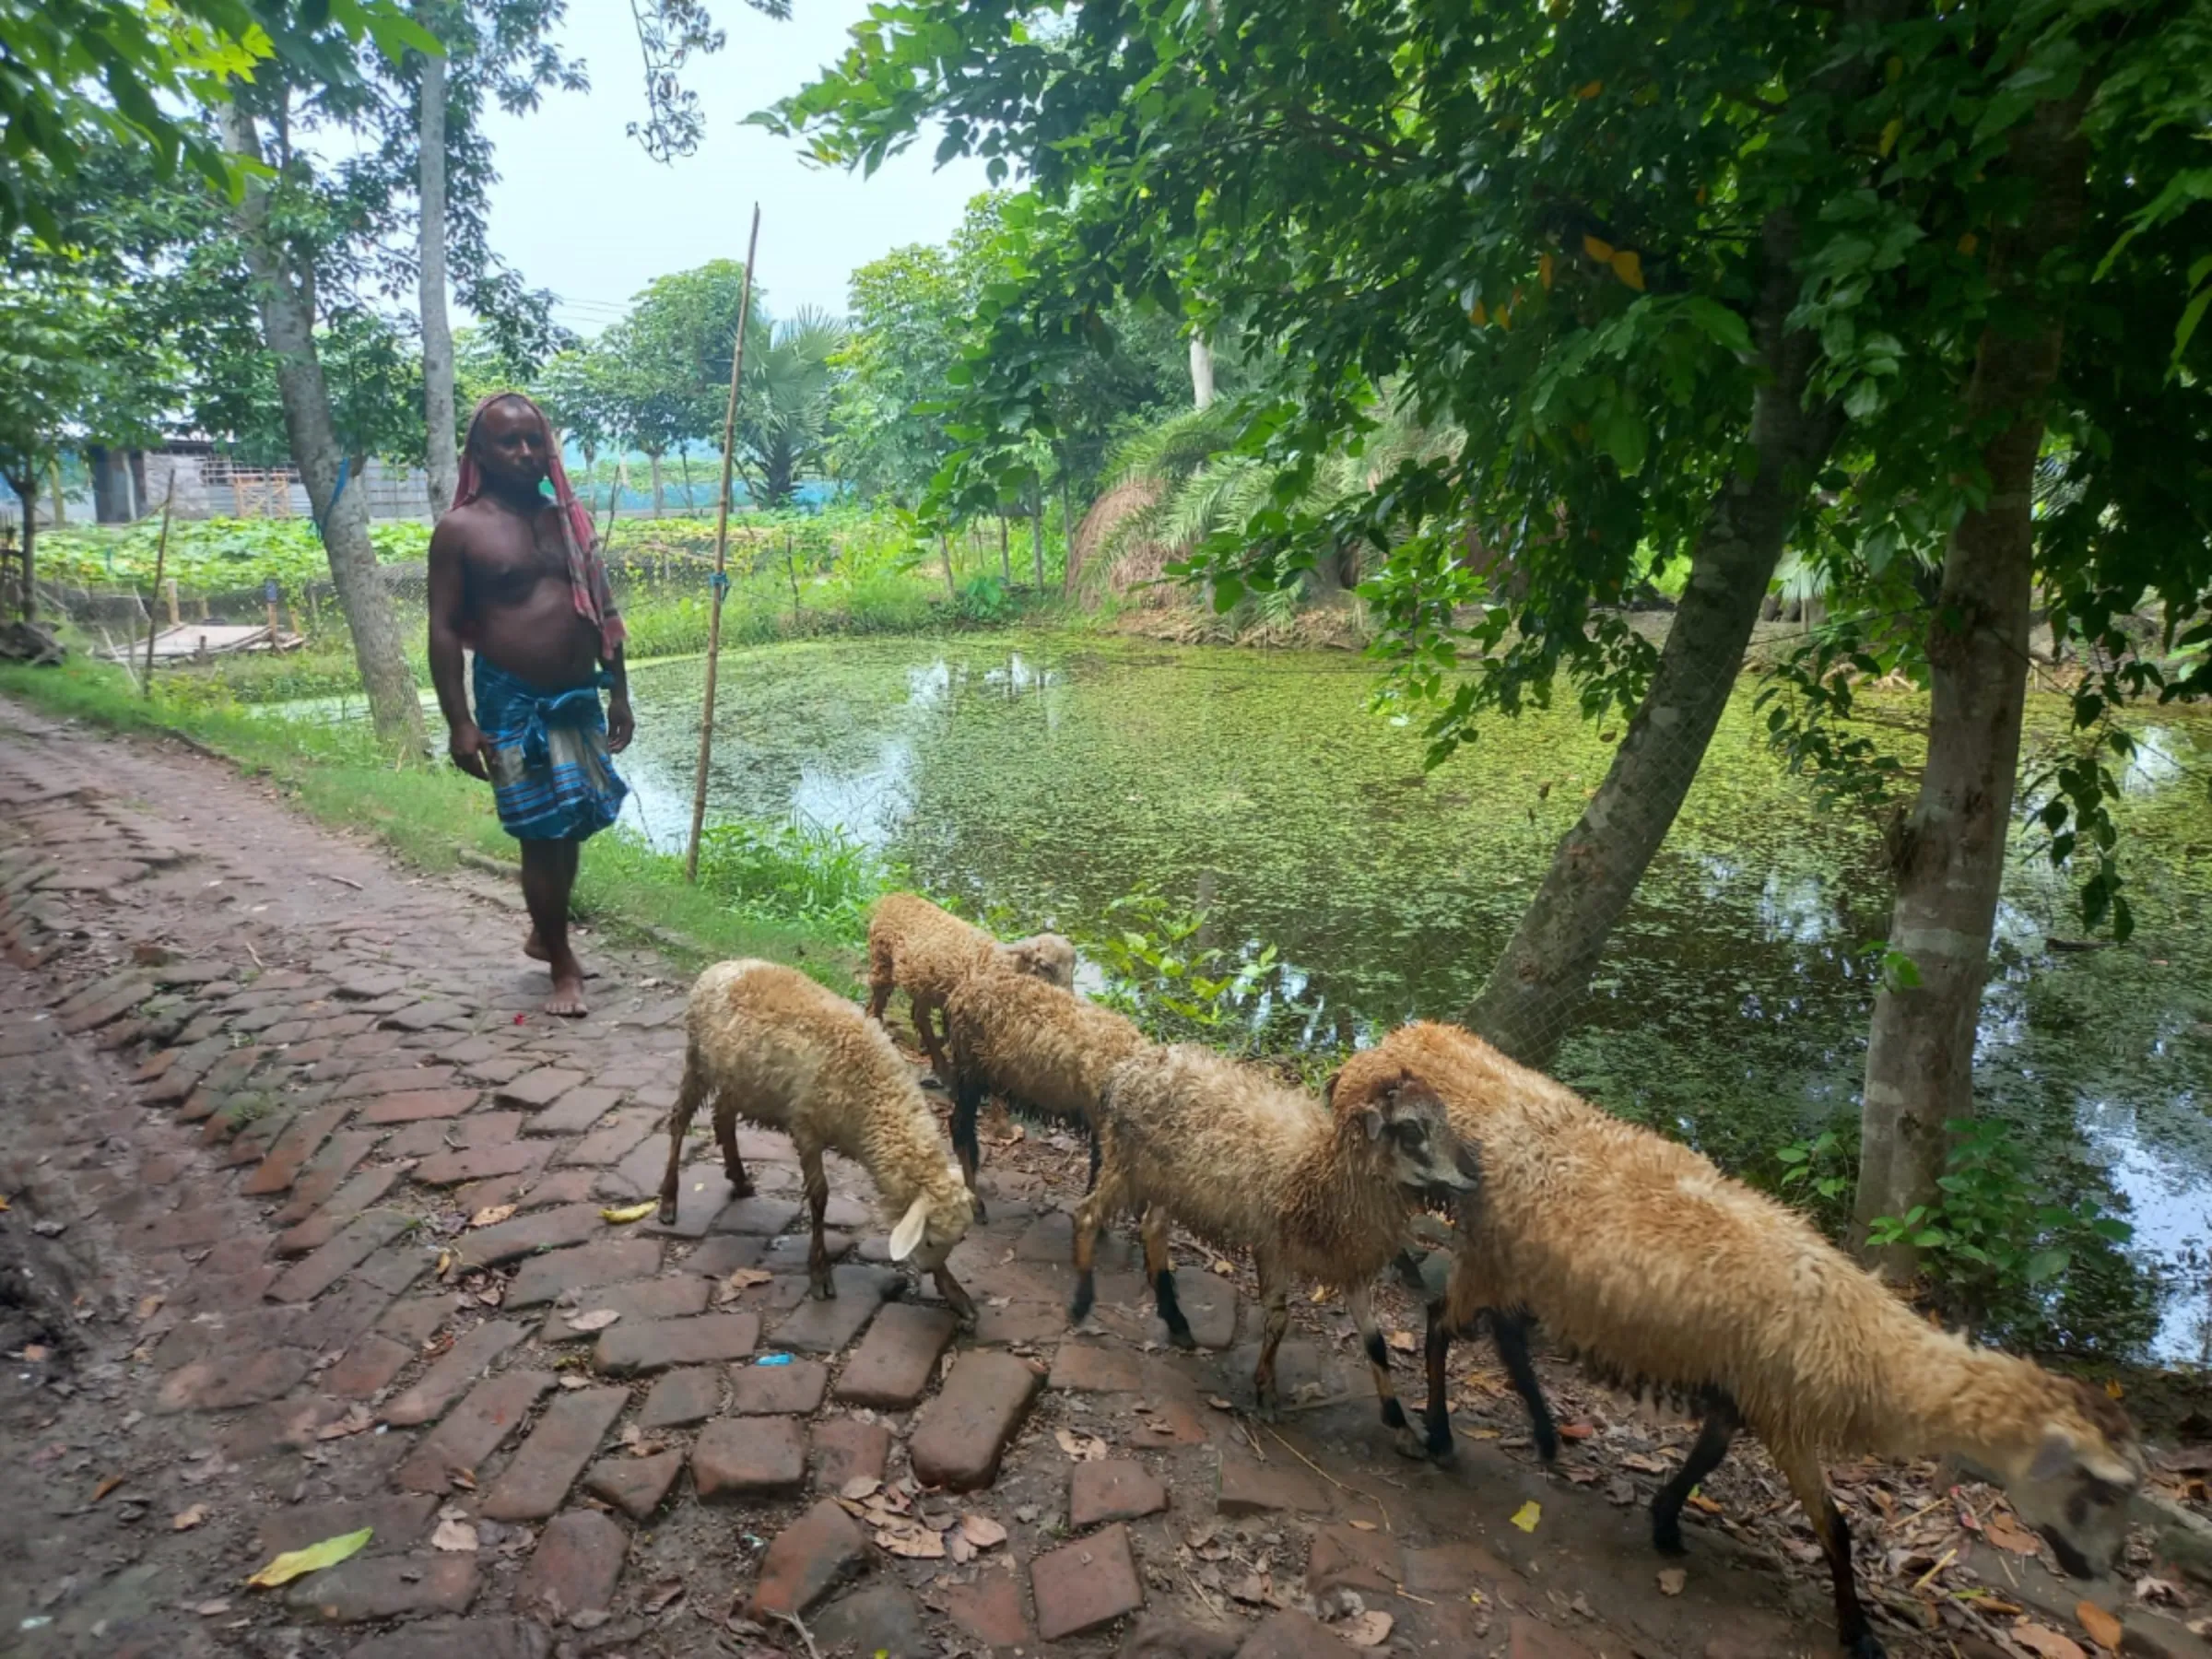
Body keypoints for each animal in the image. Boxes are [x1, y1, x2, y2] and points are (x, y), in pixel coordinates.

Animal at [645, 959, 977, 1327]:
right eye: (929, 1241)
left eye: (956, 1241)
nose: (929, 1270)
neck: (871, 1091)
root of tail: (723, 965)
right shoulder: (806, 1128)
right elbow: (819, 1198)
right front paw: (819, 1273)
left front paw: (955, 1293)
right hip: (698, 1059)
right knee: (679, 1120)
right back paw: (669, 1199)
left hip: (738, 1078)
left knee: (723, 1118)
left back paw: (739, 1179)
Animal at [858, 898, 1075, 1079]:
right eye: (1044, 966)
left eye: (1073, 967)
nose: (1069, 998)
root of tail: (892, 898)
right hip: (882, 960)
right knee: (878, 1003)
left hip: (922, 985)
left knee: (918, 1017)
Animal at [1075, 1053, 1486, 1433]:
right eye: (1413, 1130)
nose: (1473, 1175)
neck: (1325, 1171)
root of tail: (1130, 1068)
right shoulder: (1272, 1248)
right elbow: (1278, 1320)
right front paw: (1266, 1392)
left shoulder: (1350, 1263)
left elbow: (1375, 1343)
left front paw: (1400, 1424)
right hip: (1126, 1163)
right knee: (1088, 1216)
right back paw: (1081, 1304)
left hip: (1168, 1183)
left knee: (1153, 1229)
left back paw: (1177, 1323)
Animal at [1327, 1026, 2141, 1659]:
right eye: (2100, 1490)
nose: (2106, 1575)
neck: (1870, 1346)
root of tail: (1412, 1038)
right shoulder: (1784, 1413)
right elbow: (1836, 1527)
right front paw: (1858, 1632)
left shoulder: (1741, 1391)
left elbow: (1710, 1458)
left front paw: (1665, 1519)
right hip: (1495, 1258)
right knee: (1441, 1326)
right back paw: (1440, 1435)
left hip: (1522, 1266)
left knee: (1503, 1333)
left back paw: (1544, 1431)